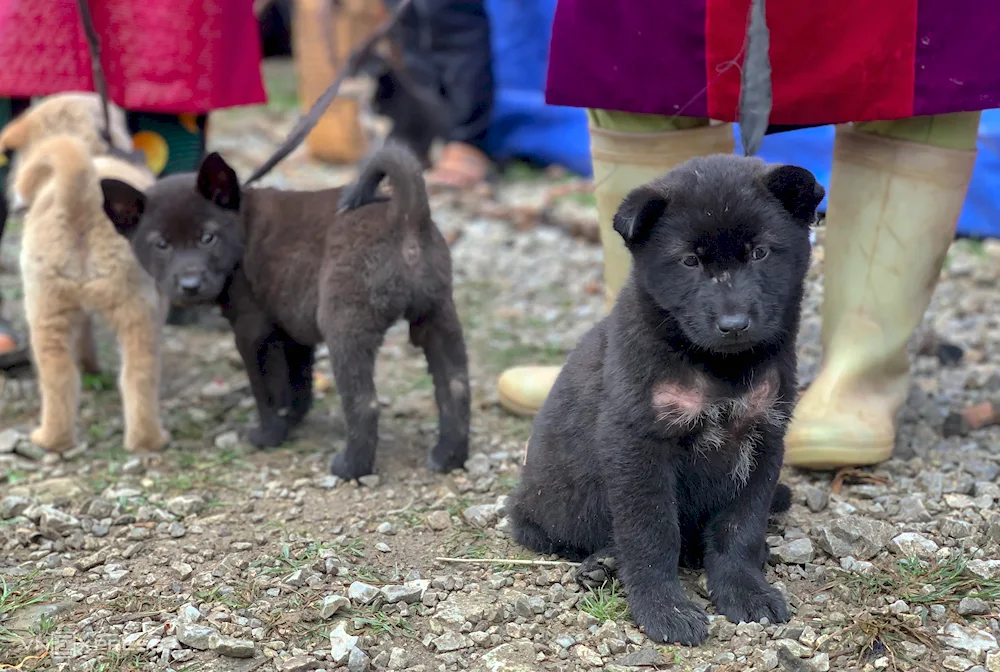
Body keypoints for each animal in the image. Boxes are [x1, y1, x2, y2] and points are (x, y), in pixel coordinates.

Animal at [101, 140, 472, 478]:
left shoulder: (252, 330)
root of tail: (405, 216)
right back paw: (447, 457)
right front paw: (293, 420)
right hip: (439, 316)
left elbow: (267, 391)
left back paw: (350, 467)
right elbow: (298, 384)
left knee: (364, 405)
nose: (190, 284)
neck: (241, 225)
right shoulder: (293, 328)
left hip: (346, 327)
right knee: (455, 389)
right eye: (161, 245)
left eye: (208, 238)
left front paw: (268, 435)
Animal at [508, 154, 820, 644]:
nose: (734, 324)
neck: (719, 368)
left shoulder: (764, 437)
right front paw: (664, 609)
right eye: (689, 261)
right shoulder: (639, 445)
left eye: (760, 252)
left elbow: (741, 526)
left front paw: (744, 590)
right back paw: (602, 562)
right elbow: (652, 533)